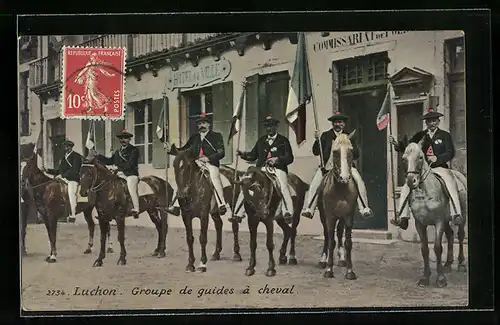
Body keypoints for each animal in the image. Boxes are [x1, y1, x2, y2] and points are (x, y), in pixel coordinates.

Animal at [316, 132, 360, 278]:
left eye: (351, 150)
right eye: (335, 152)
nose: (344, 178)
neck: (341, 189)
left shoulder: (348, 216)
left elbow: (348, 242)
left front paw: (350, 270)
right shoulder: (330, 216)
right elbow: (331, 241)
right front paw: (329, 269)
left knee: (340, 233)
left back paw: (342, 259)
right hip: (324, 216)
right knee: (327, 235)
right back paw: (323, 260)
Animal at [400, 142, 466, 286]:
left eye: (420, 157)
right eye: (404, 159)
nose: (411, 181)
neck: (424, 194)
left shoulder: (438, 221)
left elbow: (437, 247)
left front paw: (440, 279)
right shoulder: (420, 224)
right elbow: (424, 249)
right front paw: (425, 277)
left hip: (461, 216)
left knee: (460, 235)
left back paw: (461, 264)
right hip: (447, 220)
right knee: (450, 235)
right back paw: (447, 265)